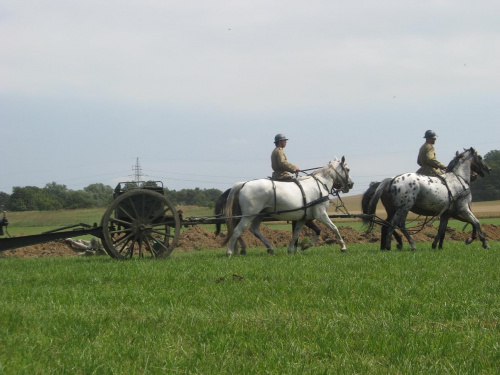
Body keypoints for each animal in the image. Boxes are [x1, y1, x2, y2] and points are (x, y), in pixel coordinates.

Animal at [223, 157, 356, 258]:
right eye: (348, 169)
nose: (351, 184)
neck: (319, 184)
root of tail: (243, 184)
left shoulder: (303, 218)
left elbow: (296, 234)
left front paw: (294, 249)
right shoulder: (321, 214)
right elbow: (334, 228)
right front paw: (343, 247)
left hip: (259, 215)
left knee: (254, 229)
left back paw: (270, 248)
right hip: (248, 216)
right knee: (237, 231)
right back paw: (229, 252)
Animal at [362, 148, 490, 251]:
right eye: (479, 157)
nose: (489, 168)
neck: (458, 179)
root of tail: (392, 180)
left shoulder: (447, 214)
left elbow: (441, 230)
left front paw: (435, 245)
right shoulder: (463, 209)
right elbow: (476, 222)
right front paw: (482, 243)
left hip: (397, 209)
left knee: (393, 225)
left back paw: (393, 246)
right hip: (403, 208)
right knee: (394, 224)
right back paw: (392, 245)